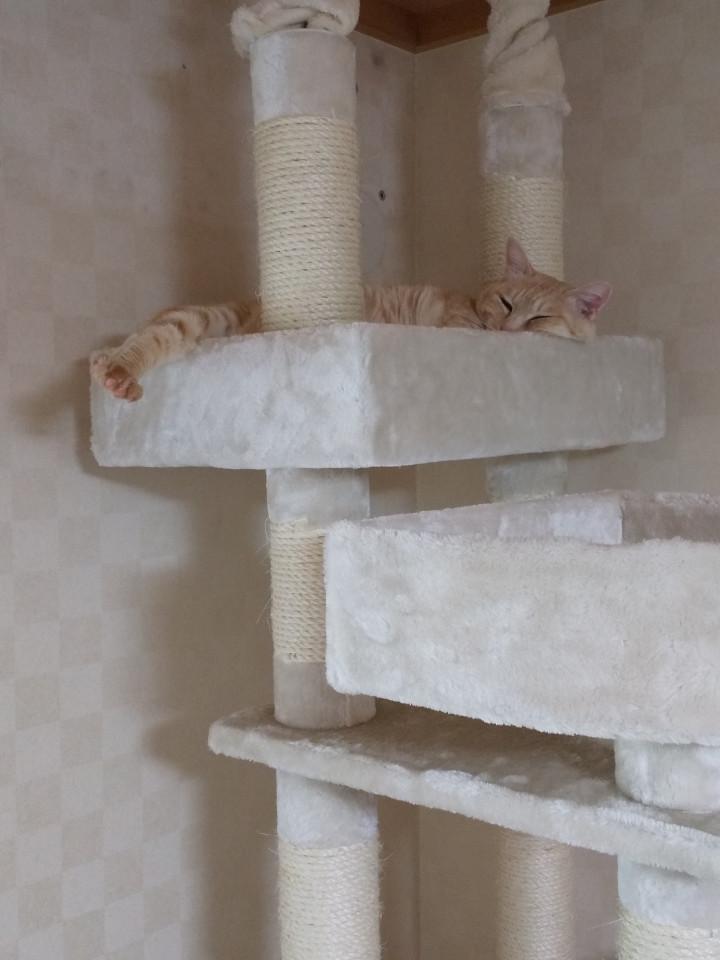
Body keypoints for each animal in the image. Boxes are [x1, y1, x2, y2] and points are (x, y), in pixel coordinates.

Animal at [91, 237, 611, 402]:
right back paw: (114, 371)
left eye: (539, 317)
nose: (506, 331)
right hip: (201, 320)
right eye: (505, 304)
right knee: (153, 333)